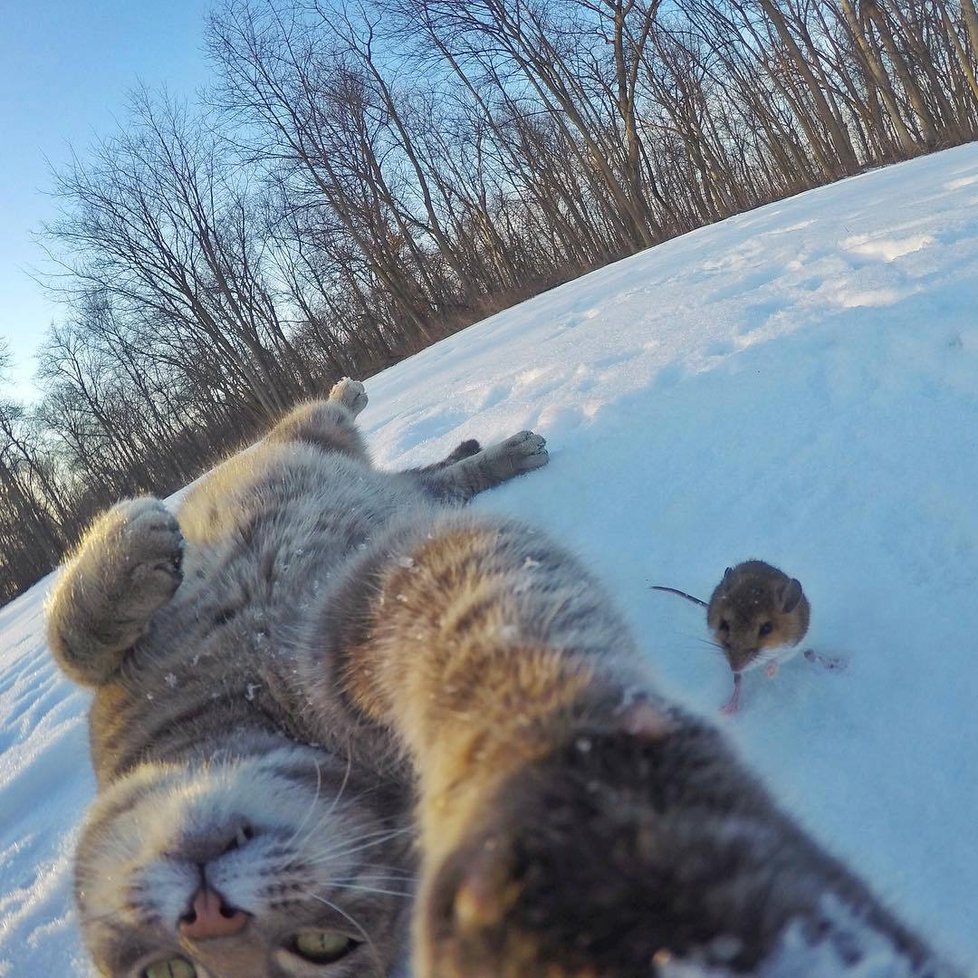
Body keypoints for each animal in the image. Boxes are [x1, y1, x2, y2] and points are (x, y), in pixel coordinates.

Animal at [49, 378, 956, 972]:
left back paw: (407, 413)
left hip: (313, 444)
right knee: (425, 480)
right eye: (171, 970)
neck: (246, 715)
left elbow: (73, 642)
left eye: (319, 944)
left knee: (339, 429)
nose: (207, 917)